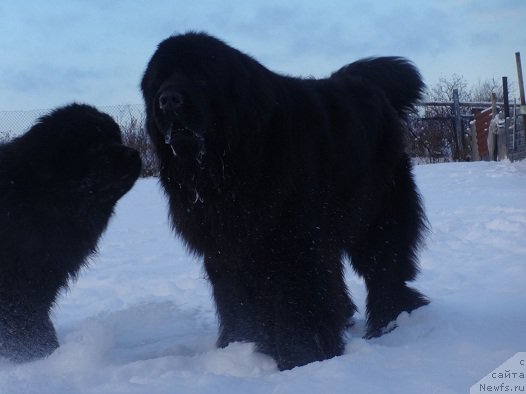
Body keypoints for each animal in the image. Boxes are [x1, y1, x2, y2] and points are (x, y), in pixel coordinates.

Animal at [142, 31, 432, 370]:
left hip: (377, 209)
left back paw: (390, 319)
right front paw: (241, 345)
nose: (168, 99)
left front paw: (302, 355)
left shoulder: (293, 241)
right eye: (159, 82)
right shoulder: (225, 248)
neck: (229, 165)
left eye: (200, 76)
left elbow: (300, 298)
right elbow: (236, 299)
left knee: (384, 264)